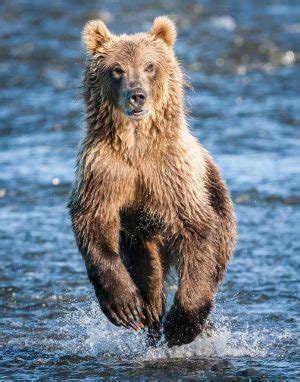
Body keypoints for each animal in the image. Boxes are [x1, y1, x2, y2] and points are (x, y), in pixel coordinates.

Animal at [68, 16, 237, 348]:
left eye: (149, 65)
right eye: (117, 69)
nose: (137, 95)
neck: (137, 144)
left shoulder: (172, 176)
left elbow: (198, 233)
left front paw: (181, 325)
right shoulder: (104, 171)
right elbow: (93, 221)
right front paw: (125, 306)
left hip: (220, 206)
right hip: (141, 240)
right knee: (149, 275)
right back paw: (151, 317)